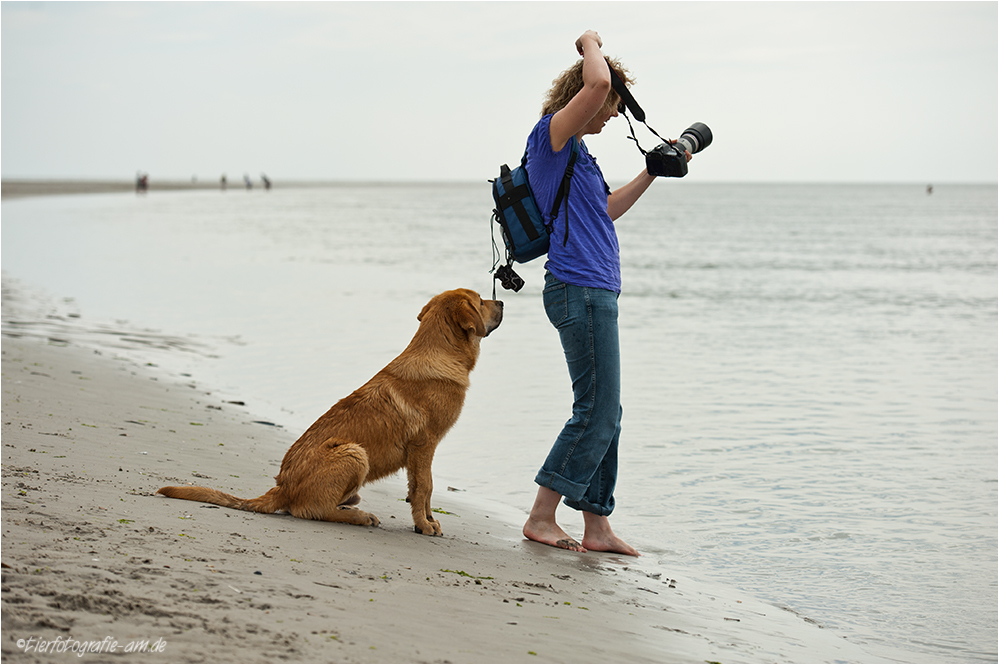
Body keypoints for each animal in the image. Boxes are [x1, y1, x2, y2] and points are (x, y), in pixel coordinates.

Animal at [159, 290, 504, 536]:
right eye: (480, 301)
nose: (501, 301)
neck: (439, 349)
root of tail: (282, 488)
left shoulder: (422, 452)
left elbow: (422, 489)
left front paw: (428, 520)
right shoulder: (424, 444)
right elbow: (424, 488)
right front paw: (424, 525)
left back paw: (351, 506)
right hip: (353, 452)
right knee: (308, 510)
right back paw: (359, 516)